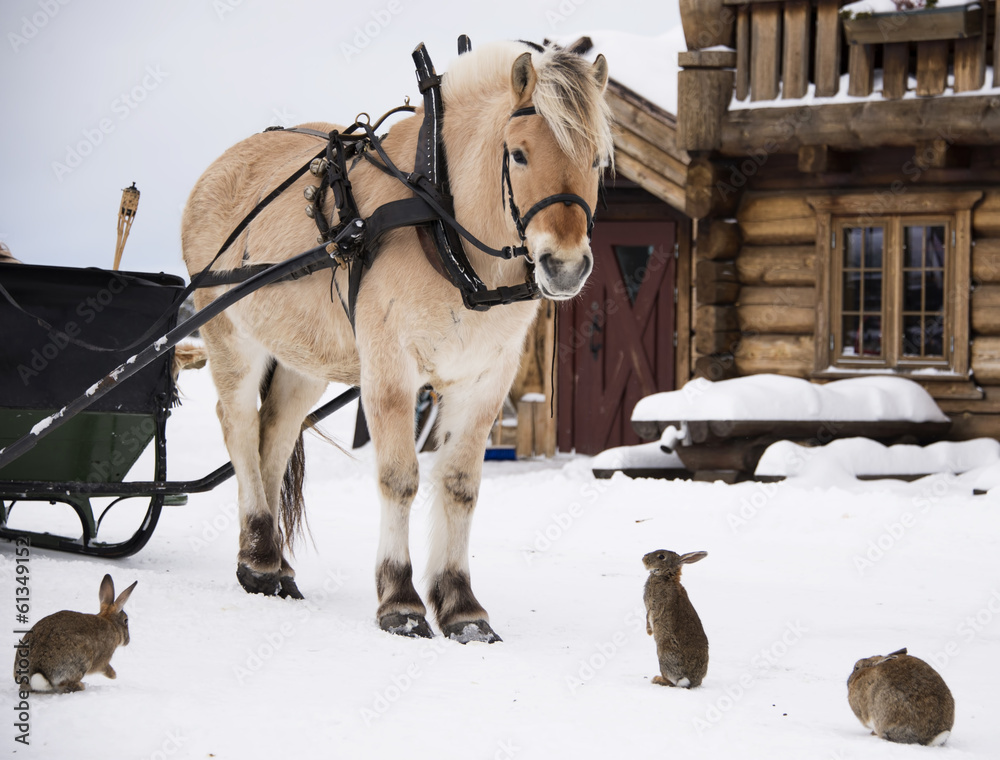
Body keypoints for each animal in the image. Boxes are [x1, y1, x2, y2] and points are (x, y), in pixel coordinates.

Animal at [181, 40, 613, 642]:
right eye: (519, 153)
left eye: (597, 159)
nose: (565, 267)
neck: (442, 223)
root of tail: (216, 168)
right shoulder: (390, 370)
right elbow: (400, 478)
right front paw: (401, 601)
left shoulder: (485, 378)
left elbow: (459, 484)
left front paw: (462, 607)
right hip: (229, 334)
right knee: (239, 425)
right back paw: (260, 561)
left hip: (304, 357)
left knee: (277, 433)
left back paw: (274, 562)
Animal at [642, 549, 708, 688]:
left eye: (661, 556)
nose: (644, 558)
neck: (666, 576)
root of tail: (690, 681)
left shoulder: (654, 606)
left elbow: (649, 616)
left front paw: (649, 631)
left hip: (663, 654)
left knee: (671, 681)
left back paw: (658, 679)